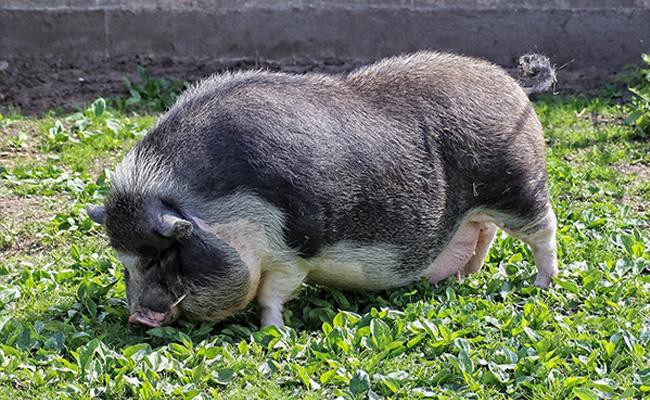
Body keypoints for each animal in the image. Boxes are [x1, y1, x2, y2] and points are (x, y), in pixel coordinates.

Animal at [87, 52, 556, 328]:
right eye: (125, 262)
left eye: (163, 254)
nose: (138, 318)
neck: (221, 211)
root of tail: (515, 85)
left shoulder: (296, 249)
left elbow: (271, 295)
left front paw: (273, 333)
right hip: (480, 206)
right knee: (482, 233)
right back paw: (462, 277)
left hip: (519, 185)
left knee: (544, 230)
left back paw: (542, 286)